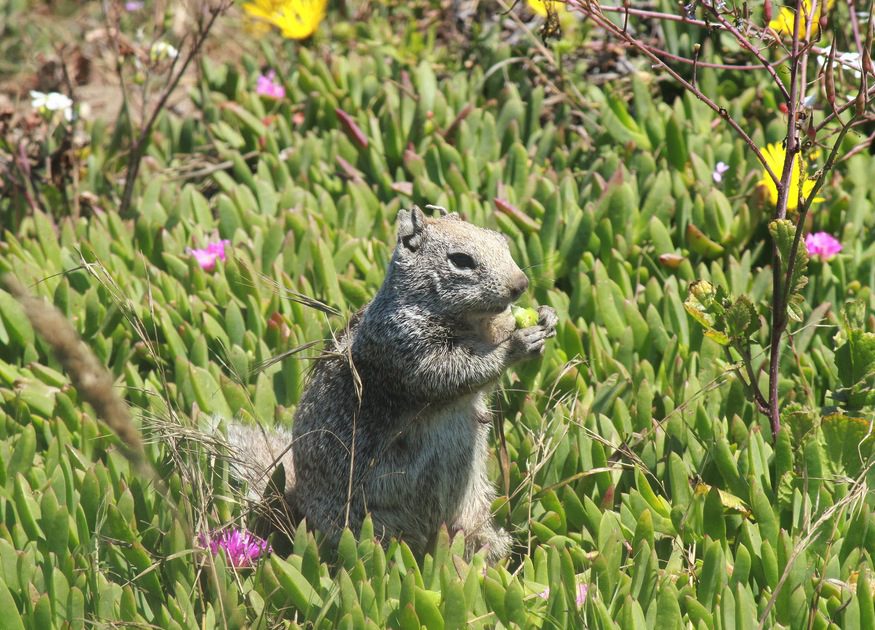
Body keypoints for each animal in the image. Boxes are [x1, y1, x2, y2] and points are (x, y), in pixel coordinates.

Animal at [226, 206, 557, 562]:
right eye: (461, 260)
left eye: (502, 241)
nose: (521, 284)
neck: (470, 322)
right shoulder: (402, 345)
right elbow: (453, 372)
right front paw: (517, 345)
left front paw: (546, 315)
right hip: (368, 526)